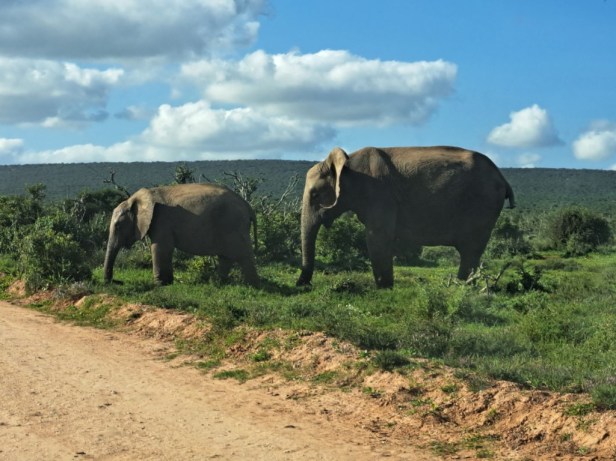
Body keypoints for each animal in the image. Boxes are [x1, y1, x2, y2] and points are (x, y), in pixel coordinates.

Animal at [103, 183, 259, 287]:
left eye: (118, 226)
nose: (116, 281)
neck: (136, 199)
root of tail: (247, 206)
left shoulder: (161, 220)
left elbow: (161, 247)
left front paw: (159, 284)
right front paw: (167, 283)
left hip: (233, 224)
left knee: (244, 255)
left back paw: (252, 285)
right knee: (226, 257)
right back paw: (217, 283)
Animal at [297, 146, 515, 288]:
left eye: (315, 195)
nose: (303, 285)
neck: (346, 162)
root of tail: (503, 178)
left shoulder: (378, 193)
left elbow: (377, 238)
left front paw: (384, 289)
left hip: (482, 204)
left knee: (470, 251)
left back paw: (460, 287)